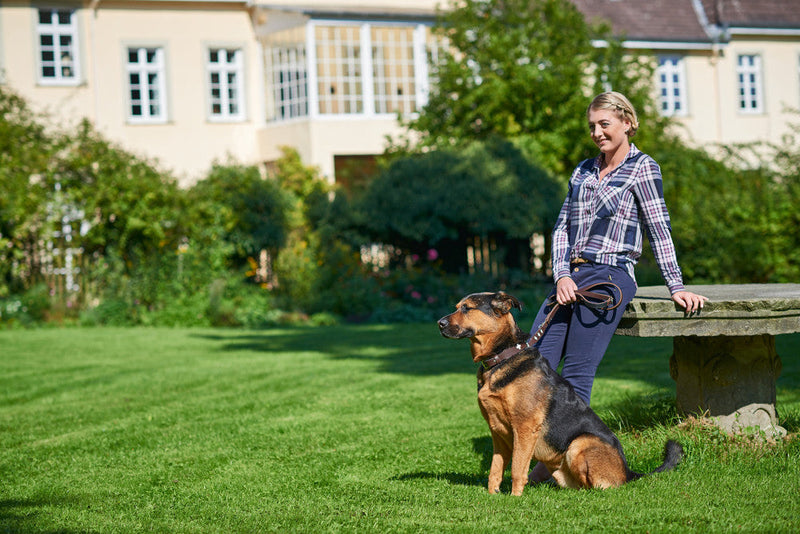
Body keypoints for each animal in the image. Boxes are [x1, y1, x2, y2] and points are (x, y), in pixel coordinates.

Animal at [438, 294, 680, 498]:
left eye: (467, 308)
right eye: (458, 307)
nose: (439, 323)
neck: (502, 356)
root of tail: (629, 472)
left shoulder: (524, 428)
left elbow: (517, 468)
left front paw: (515, 498)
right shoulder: (497, 432)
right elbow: (495, 469)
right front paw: (492, 496)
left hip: (578, 444)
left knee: (601, 487)